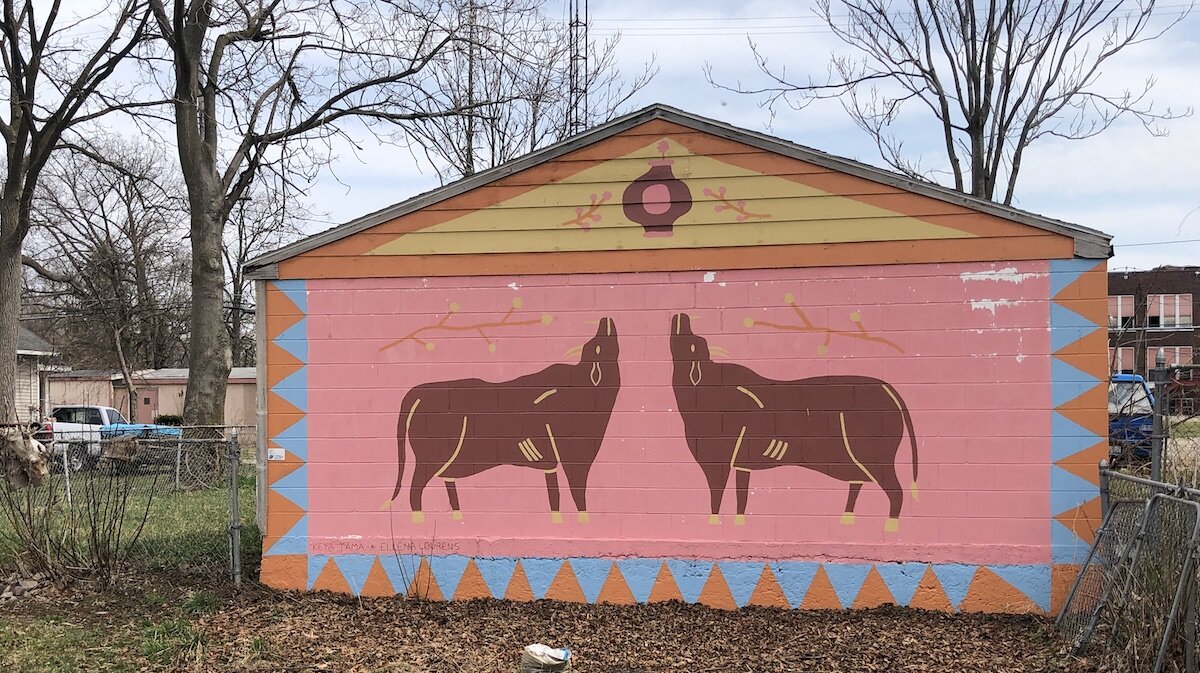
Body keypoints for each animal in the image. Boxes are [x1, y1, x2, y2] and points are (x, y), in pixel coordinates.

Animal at [391, 316, 624, 523]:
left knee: (446, 482)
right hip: (431, 457)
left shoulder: (552, 463)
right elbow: (578, 495)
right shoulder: (575, 458)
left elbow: (554, 495)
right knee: (415, 490)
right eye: (595, 347)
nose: (605, 319)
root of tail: (417, 393)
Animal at [667, 314, 916, 530]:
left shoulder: (717, 458)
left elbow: (717, 494)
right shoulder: (740, 462)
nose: (681, 315)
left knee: (895, 490)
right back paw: (846, 519)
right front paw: (738, 521)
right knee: (858, 481)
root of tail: (888, 389)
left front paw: (716, 522)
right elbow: (741, 494)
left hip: (874, 453)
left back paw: (889, 526)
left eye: (695, 344)